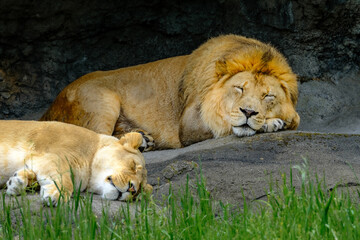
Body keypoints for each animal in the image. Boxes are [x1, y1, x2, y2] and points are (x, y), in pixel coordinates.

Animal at [0, 121, 152, 205]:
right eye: (133, 165)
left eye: (140, 190)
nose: (132, 190)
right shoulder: (53, 155)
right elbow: (65, 179)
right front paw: (56, 195)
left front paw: (16, 182)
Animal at [40, 34, 300, 150]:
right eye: (239, 88)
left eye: (268, 96)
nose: (248, 111)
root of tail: (47, 110)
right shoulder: (189, 125)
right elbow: (225, 123)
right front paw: (271, 123)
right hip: (102, 101)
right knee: (95, 139)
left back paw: (142, 138)